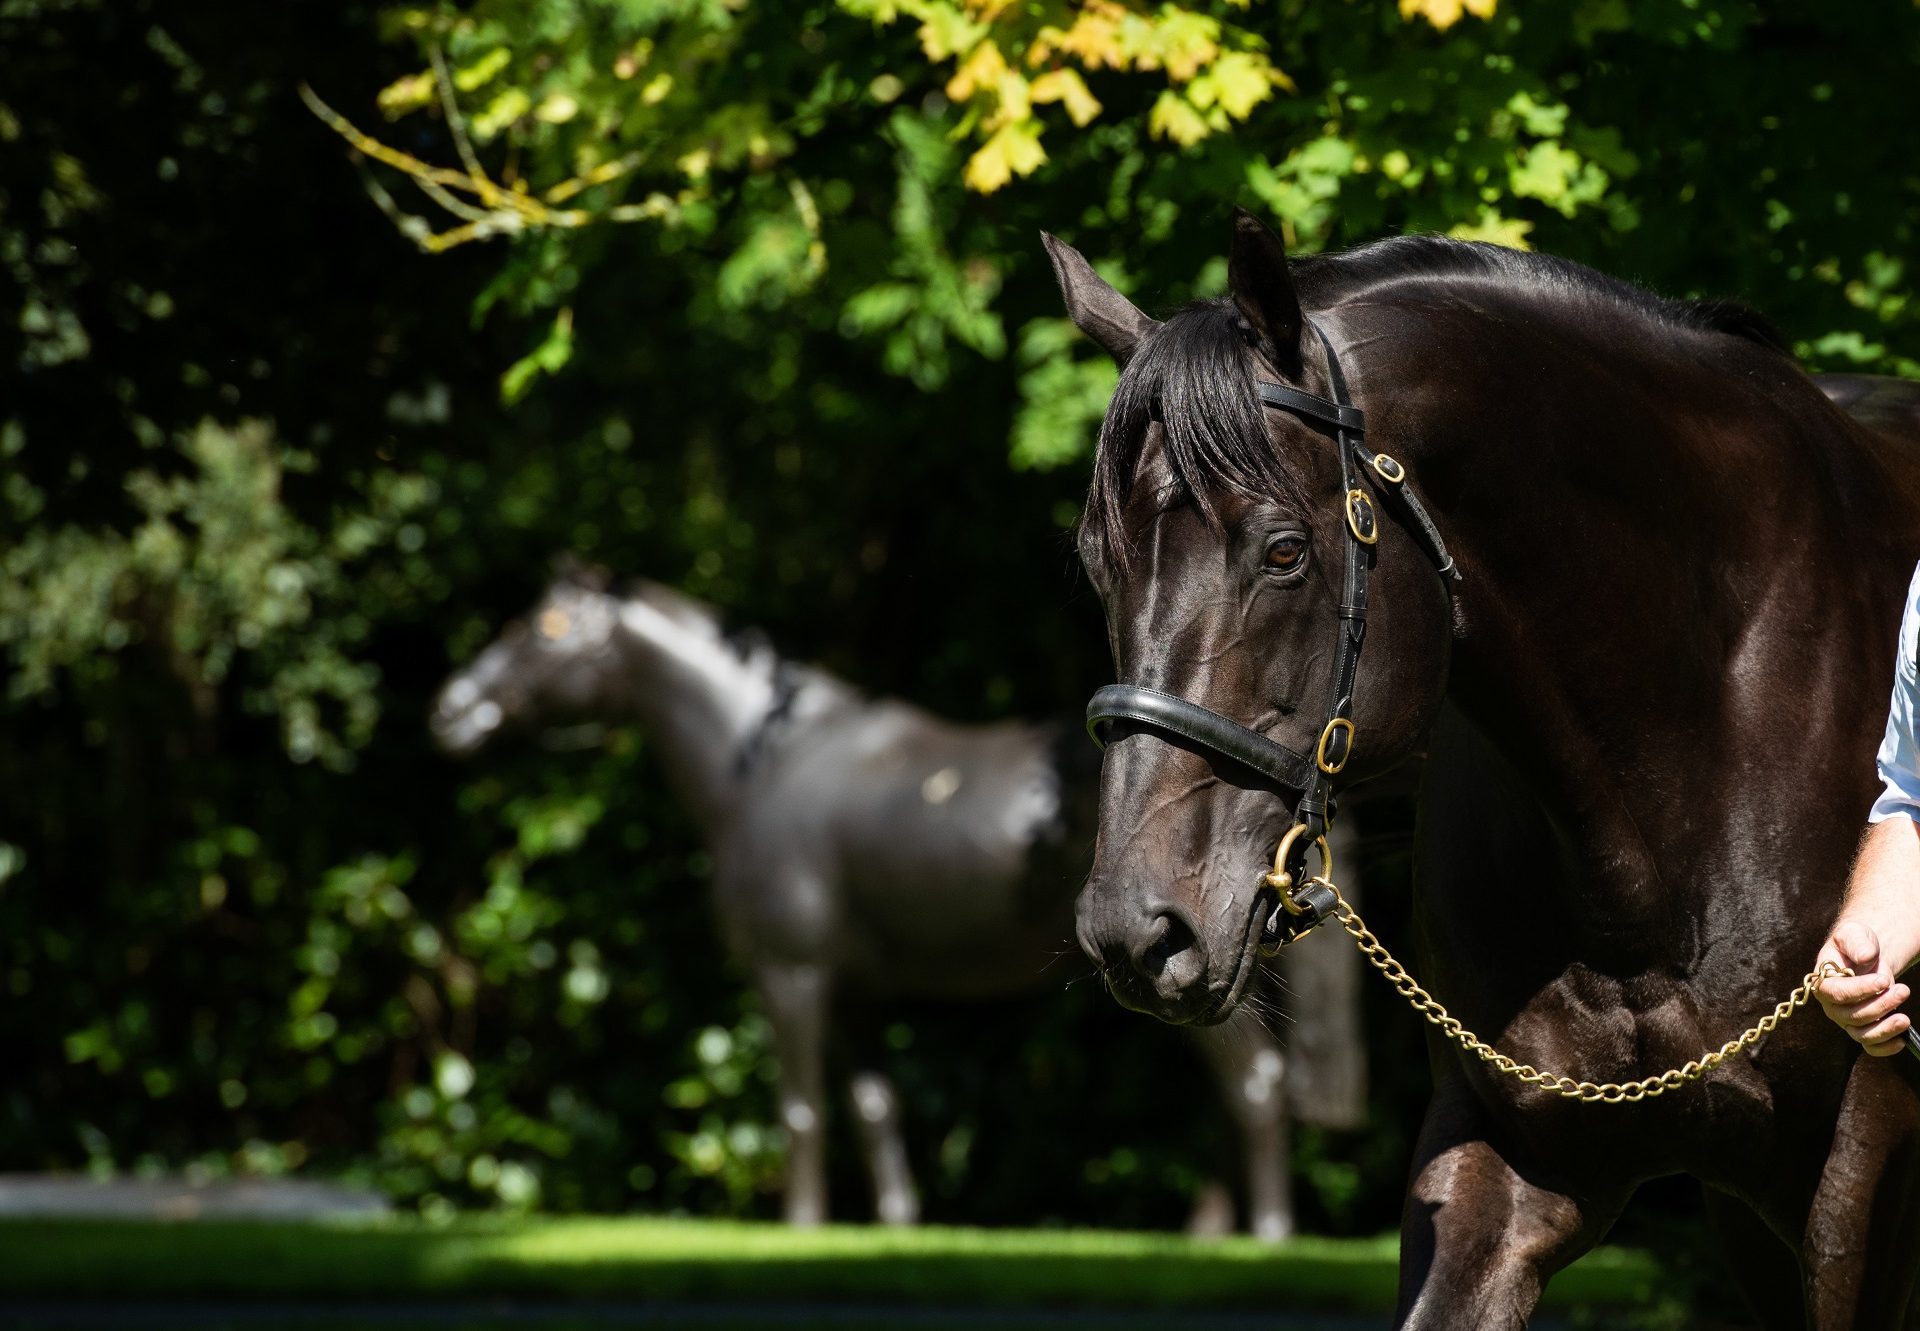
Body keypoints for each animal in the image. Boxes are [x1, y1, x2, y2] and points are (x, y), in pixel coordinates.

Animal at [435, 564, 1367, 1236]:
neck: (768, 766)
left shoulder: (791, 975)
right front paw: (895, 1227)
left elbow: (802, 1110)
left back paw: (1268, 1238)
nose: (451, 709)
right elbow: (874, 1107)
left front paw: (802, 1228)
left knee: (1255, 1088)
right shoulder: (851, 990)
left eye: (547, 629)